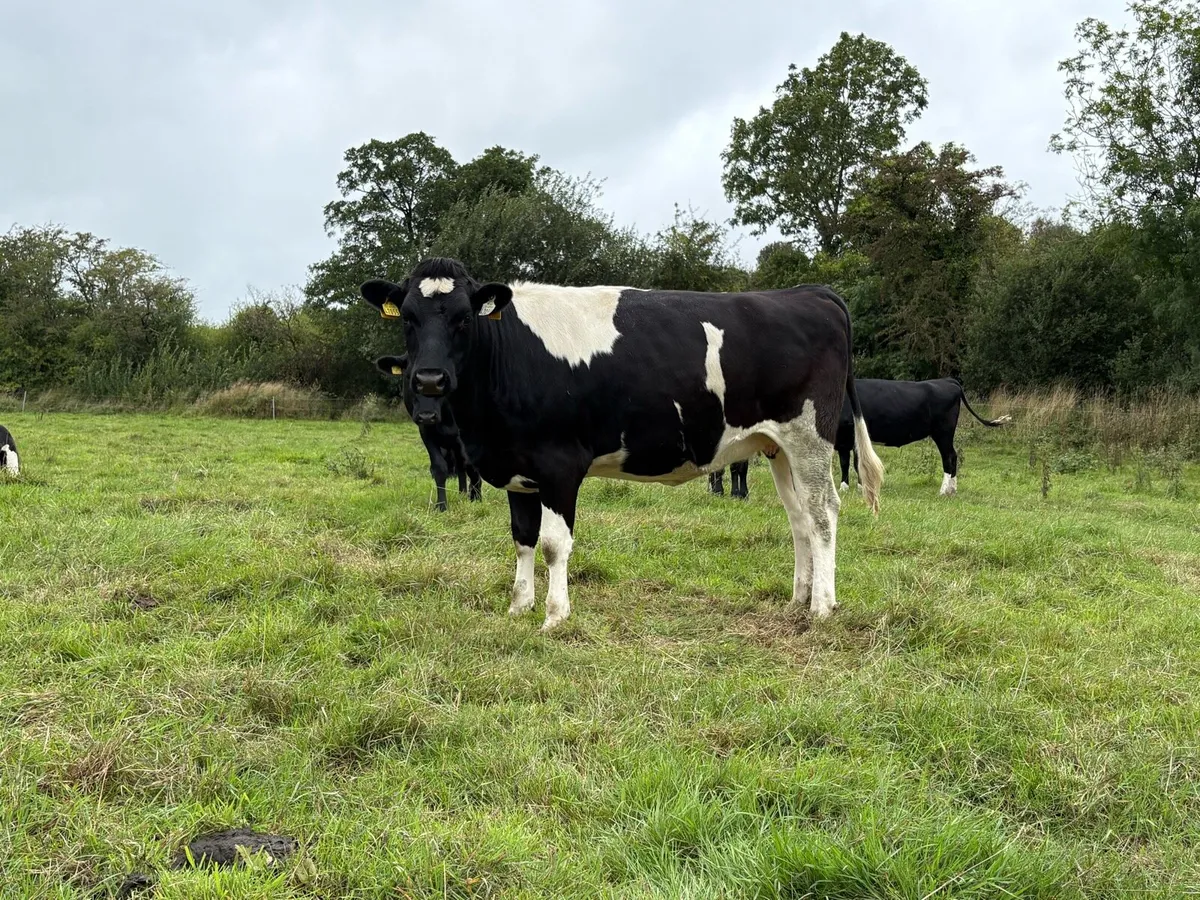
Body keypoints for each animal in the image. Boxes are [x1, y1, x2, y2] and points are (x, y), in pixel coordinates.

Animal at [376, 352, 482, 511]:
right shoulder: (426, 433)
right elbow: (439, 467)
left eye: (441, 382)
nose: (426, 415)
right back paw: (462, 494)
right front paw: (442, 505)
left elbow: (472, 466)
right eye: (409, 377)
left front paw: (477, 500)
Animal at [835, 377, 1010, 496]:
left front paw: (860, 487)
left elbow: (857, 463)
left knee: (949, 456)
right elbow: (844, 463)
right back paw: (952, 489)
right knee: (953, 456)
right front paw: (843, 487)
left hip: (943, 432)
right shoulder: (842, 441)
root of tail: (947, 380)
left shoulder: (854, 435)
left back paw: (943, 490)